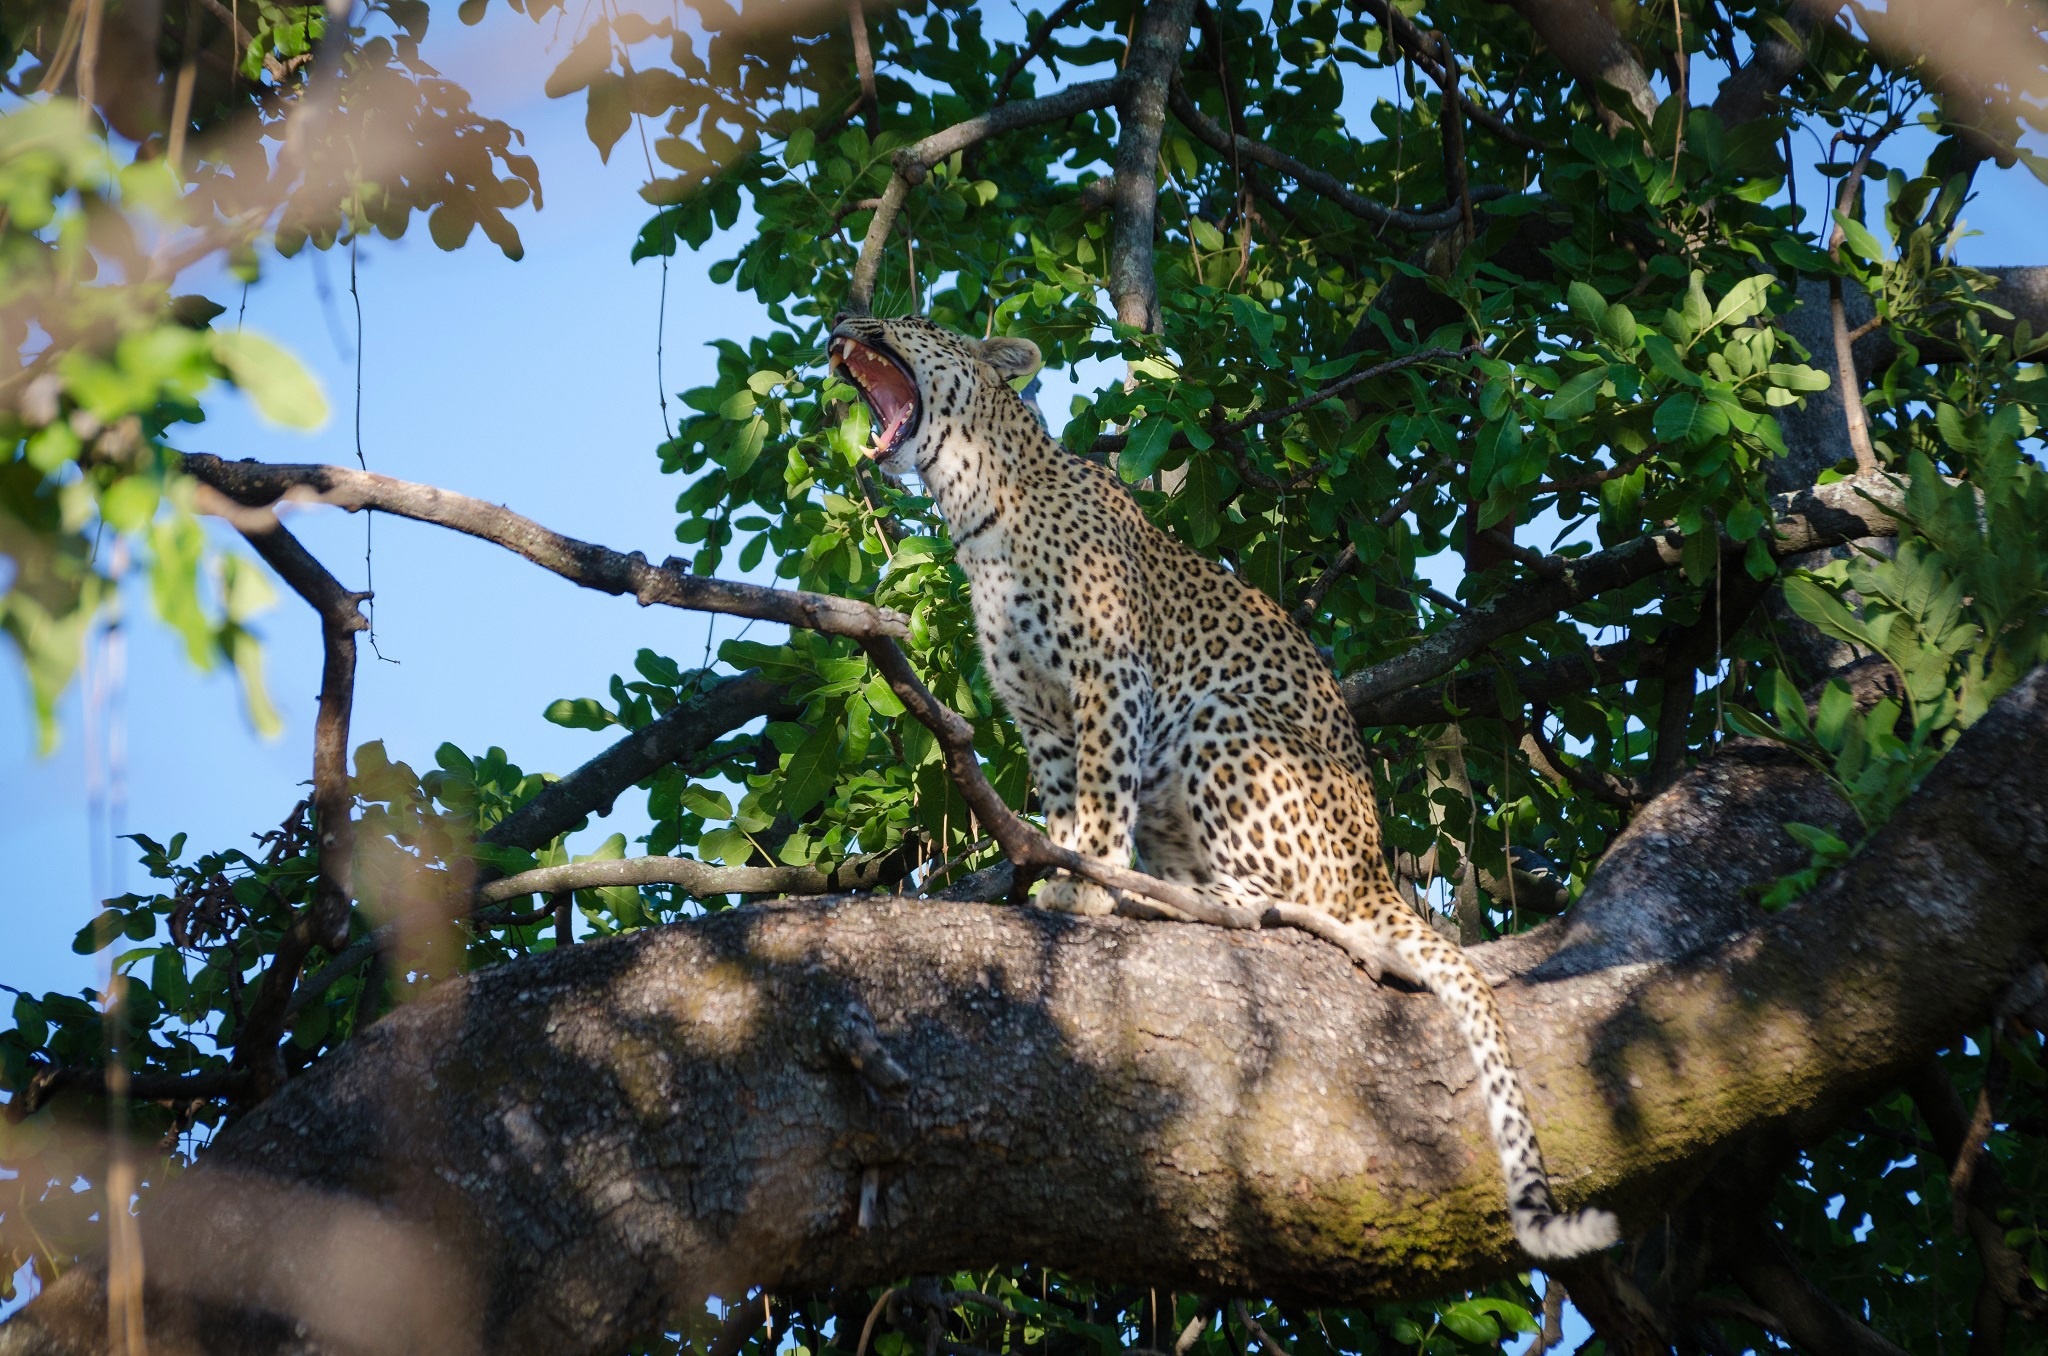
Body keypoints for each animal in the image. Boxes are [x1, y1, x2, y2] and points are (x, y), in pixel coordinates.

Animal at [827, 311, 1613, 1261]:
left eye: (908, 323)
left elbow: (1101, 799)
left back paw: (1167, 897)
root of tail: (1377, 869)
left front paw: (1088, 887)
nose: (839, 325)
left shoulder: (1110, 676)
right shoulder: (1041, 718)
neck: (977, 502)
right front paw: (1064, 873)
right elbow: (1065, 805)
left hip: (1218, 722)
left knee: (1277, 903)